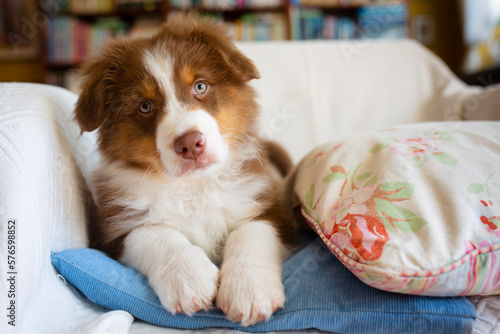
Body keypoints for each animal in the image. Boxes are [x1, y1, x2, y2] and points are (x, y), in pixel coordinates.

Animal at [73, 13, 292, 326]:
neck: (193, 187)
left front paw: (249, 289)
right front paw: (189, 278)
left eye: (200, 86)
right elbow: (152, 233)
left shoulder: (270, 207)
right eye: (144, 106)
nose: (190, 144)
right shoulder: (112, 231)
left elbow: (252, 231)